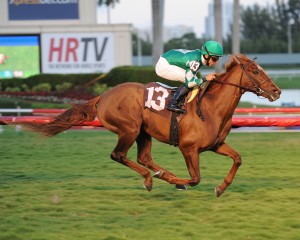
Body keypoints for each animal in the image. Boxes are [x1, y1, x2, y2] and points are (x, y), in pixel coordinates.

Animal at [21, 54, 282, 197]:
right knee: (118, 155)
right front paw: (179, 182)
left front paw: (220, 187)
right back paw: (151, 179)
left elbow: (237, 159)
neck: (210, 108)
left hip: (143, 132)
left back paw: (160, 173)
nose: (277, 91)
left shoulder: (216, 145)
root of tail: (103, 96)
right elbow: (195, 178)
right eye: (254, 70)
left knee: (143, 158)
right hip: (129, 129)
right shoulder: (188, 148)